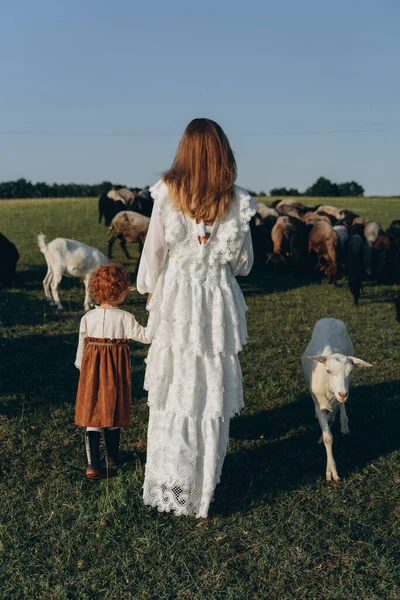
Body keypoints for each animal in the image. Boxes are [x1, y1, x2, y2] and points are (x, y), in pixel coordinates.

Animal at [304, 318, 372, 482]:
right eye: (328, 371)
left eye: (351, 371)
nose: (343, 393)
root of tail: (330, 318)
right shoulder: (320, 404)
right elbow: (328, 437)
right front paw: (331, 471)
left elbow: (332, 417)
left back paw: (344, 424)